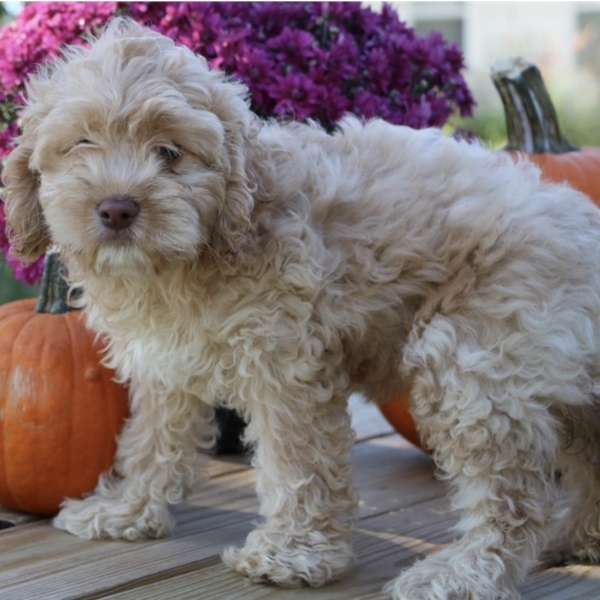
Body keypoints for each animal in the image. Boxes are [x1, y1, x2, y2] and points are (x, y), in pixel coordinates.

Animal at [5, 19, 600, 600]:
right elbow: (152, 438)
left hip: (472, 356)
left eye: (170, 152)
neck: (191, 259)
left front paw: (292, 555)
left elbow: (298, 462)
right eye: (82, 142)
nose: (117, 209)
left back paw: (461, 574)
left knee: (513, 493)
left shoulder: (286, 364)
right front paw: (127, 510)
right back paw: (580, 539)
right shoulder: (164, 363)